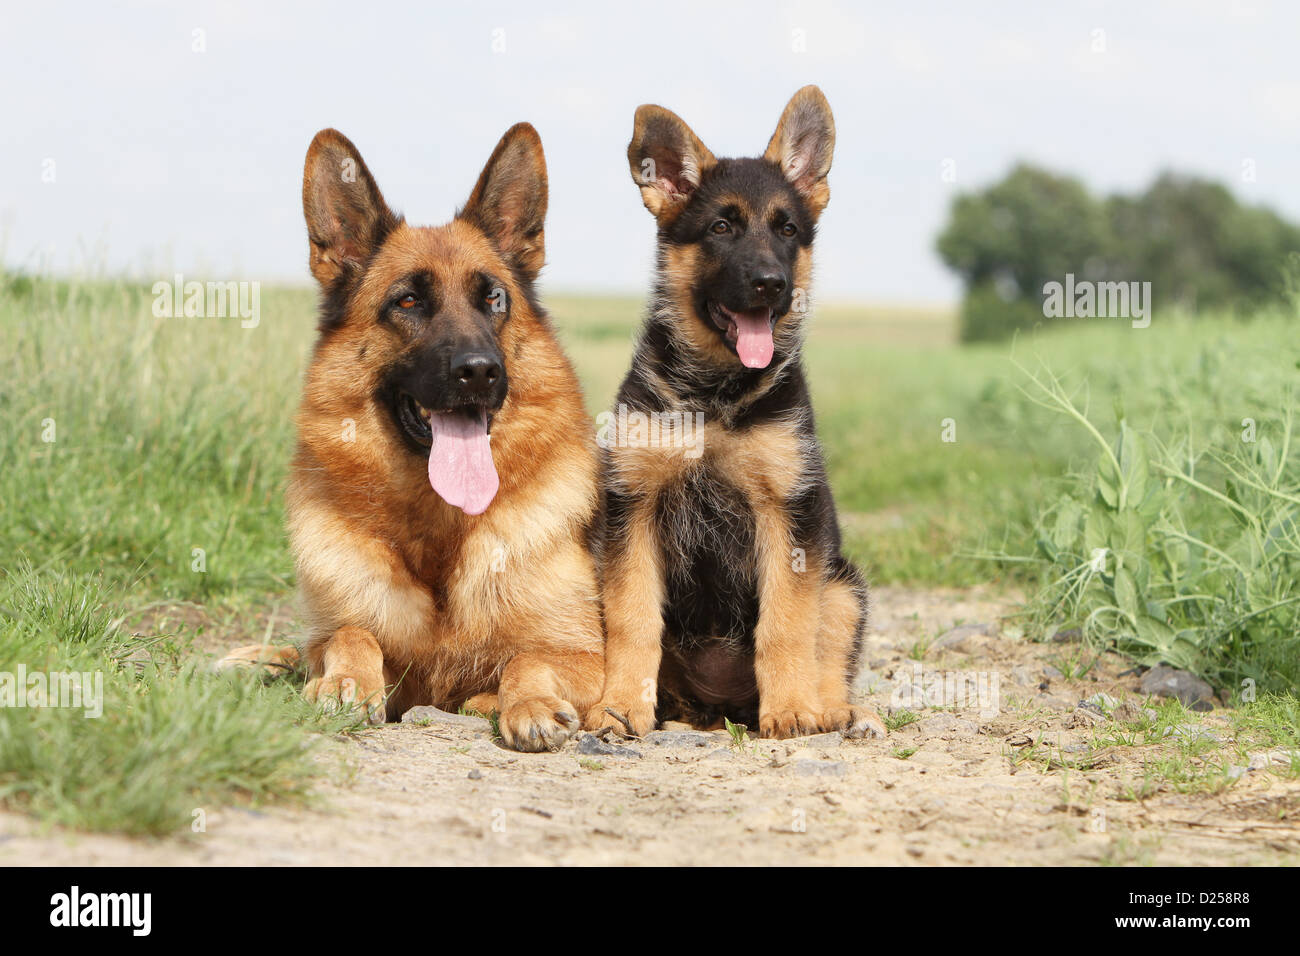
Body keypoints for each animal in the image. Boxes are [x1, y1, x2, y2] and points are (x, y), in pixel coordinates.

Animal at [222, 123, 603, 749]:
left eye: (494, 298)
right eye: (407, 301)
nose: (479, 371)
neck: (441, 533)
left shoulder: (590, 656)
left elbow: (528, 658)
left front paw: (527, 702)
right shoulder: (354, 637)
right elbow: (350, 634)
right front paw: (345, 683)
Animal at [587, 87, 883, 738]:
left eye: (788, 229)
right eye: (721, 227)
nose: (770, 283)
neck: (714, 398)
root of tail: (721, 705)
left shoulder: (788, 514)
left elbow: (788, 623)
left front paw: (792, 708)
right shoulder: (633, 510)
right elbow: (633, 620)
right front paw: (620, 704)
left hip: (844, 583)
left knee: (829, 647)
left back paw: (835, 708)